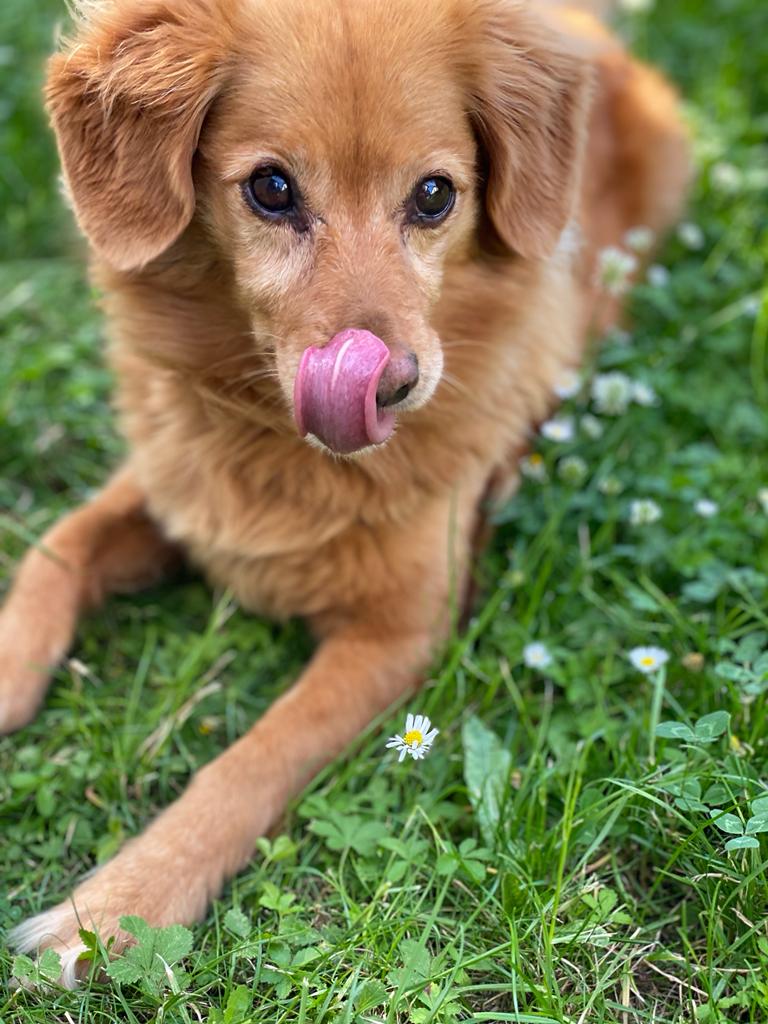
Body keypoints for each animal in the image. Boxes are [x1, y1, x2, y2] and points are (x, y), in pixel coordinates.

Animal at [3, 0, 692, 983]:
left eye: (435, 195)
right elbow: (56, 548)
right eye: (271, 188)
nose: (392, 385)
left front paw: (119, 907)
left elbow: (255, 756)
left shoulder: (397, 634)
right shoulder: (176, 482)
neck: (286, 459)